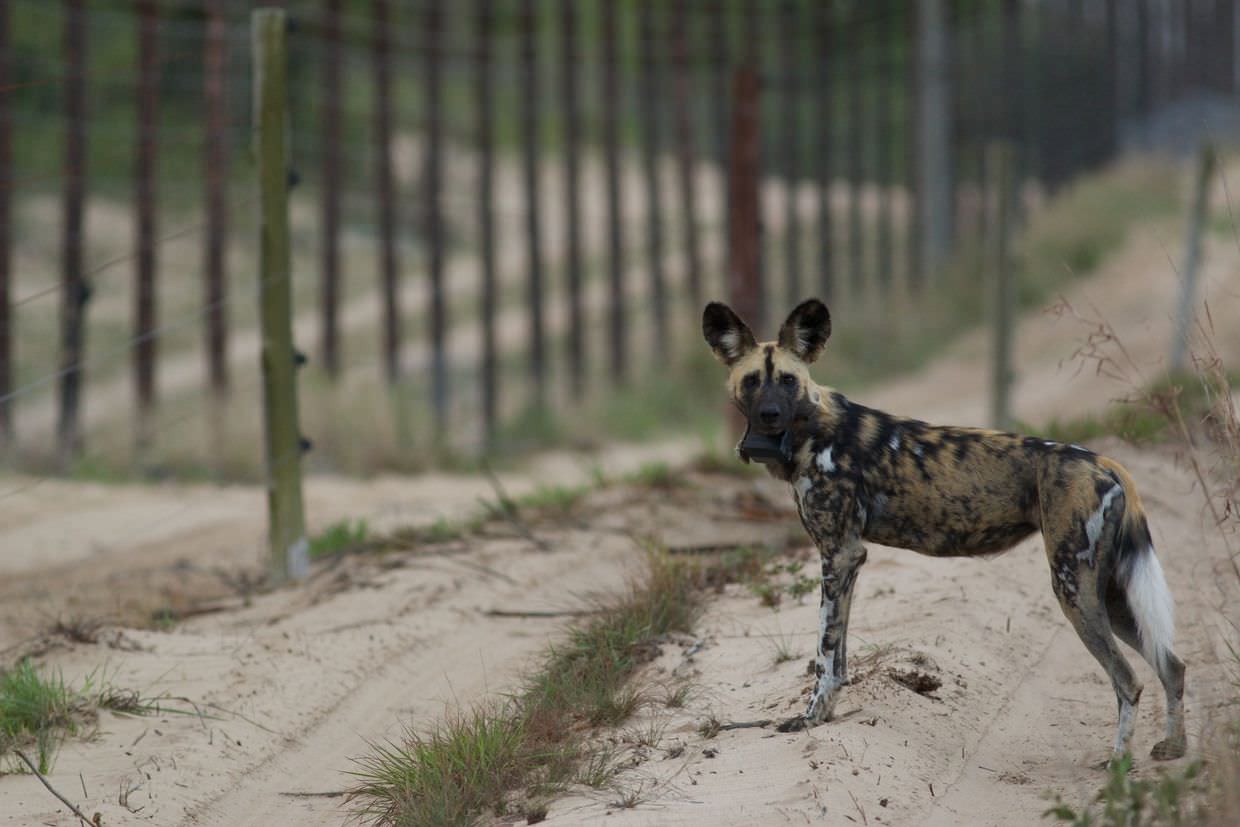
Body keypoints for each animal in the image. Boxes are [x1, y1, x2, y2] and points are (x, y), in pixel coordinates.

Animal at [704, 297, 1185, 763]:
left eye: (787, 380)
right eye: (752, 381)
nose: (769, 414)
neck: (810, 430)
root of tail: (1104, 462)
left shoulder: (837, 555)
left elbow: (823, 653)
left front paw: (809, 718)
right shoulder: (847, 561)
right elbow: (838, 659)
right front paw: (826, 717)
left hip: (1073, 588)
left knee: (1128, 679)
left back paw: (1119, 762)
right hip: (1110, 595)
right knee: (1172, 665)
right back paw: (1173, 748)